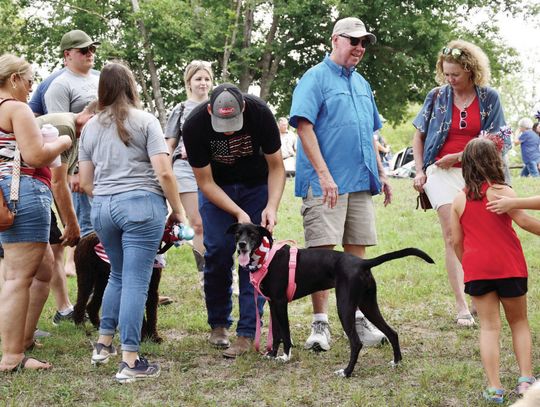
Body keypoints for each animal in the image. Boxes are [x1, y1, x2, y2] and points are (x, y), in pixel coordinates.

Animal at [227, 223, 434, 380]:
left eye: (252, 234)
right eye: (238, 234)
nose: (241, 245)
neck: (266, 257)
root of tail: (362, 263)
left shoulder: (280, 303)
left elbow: (285, 334)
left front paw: (285, 357)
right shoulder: (273, 304)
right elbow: (276, 333)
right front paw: (271, 354)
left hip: (344, 307)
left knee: (356, 343)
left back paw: (347, 372)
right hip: (368, 305)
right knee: (392, 332)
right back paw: (396, 362)